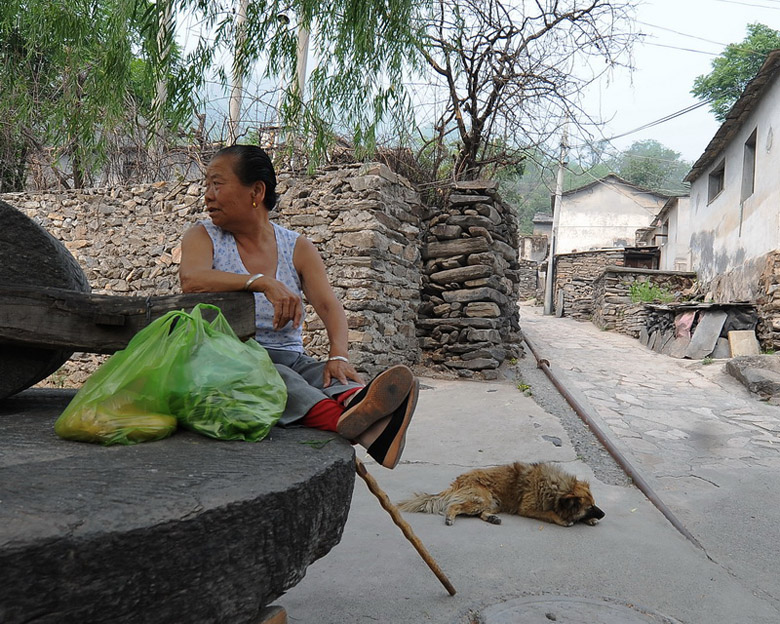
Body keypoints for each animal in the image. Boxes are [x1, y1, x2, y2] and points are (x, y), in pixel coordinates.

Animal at [396, 460, 604, 528]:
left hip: (493, 502)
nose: (603, 514)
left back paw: (492, 518)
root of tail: (458, 481)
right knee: (454, 506)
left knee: (479, 513)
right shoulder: (527, 508)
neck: (558, 488)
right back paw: (449, 518)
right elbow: (550, 513)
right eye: (590, 506)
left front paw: (590, 520)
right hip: (482, 499)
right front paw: (564, 519)